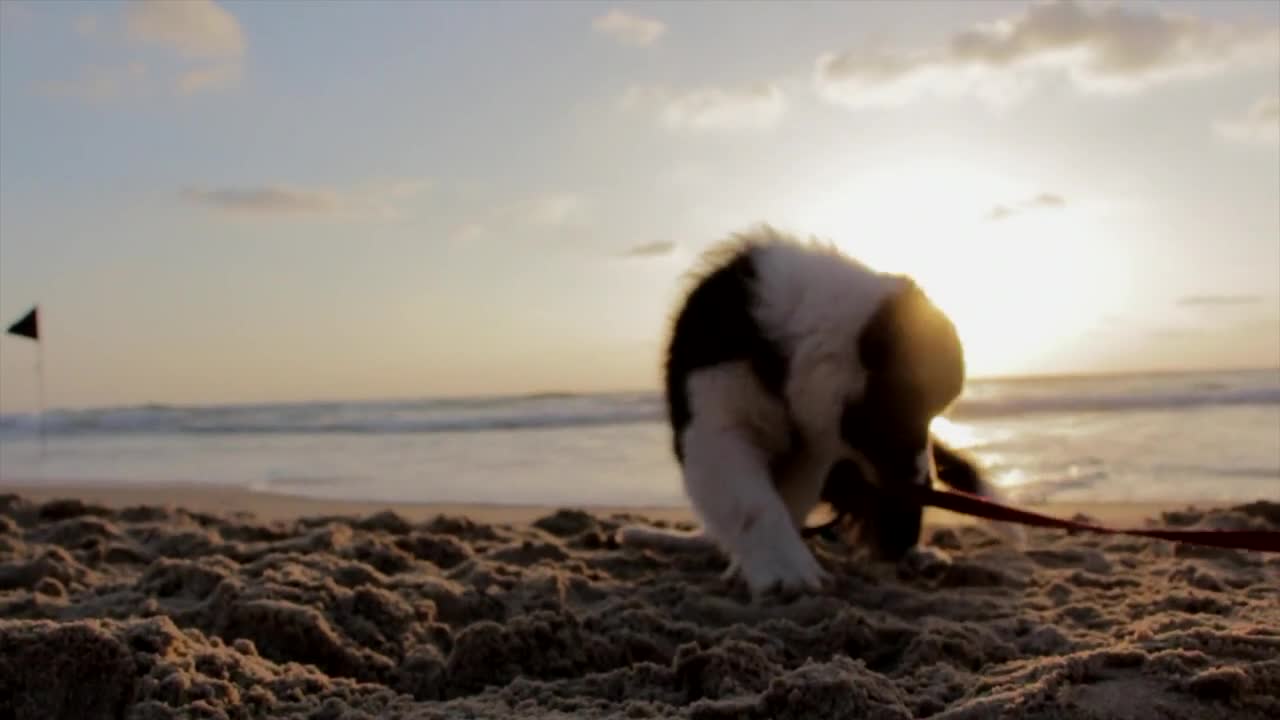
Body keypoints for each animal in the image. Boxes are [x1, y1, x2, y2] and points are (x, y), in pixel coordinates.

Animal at [616, 224, 1018, 594]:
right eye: (910, 409)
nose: (922, 484)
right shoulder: (715, 424)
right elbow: (754, 503)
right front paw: (785, 573)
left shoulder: (813, 453)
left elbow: (788, 502)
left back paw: (918, 555)